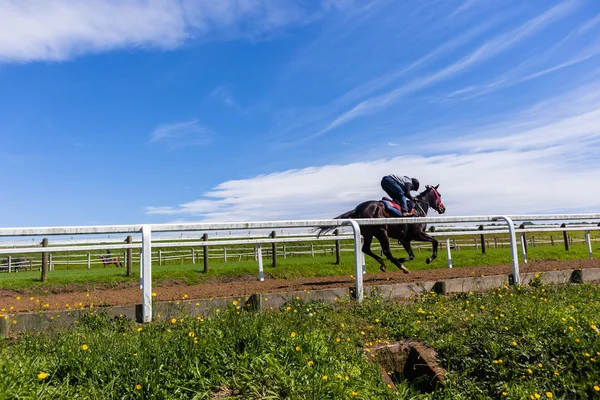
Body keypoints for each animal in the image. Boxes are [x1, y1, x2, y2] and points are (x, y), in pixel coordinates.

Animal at [318, 186, 446, 274]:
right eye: (439, 194)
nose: (443, 208)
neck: (418, 210)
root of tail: (356, 210)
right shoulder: (417, 234)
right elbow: (435, 241)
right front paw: (429, 259)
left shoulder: (405, 239)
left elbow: (412, 255)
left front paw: (402, 258)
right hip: (381, 231)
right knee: (386, 251)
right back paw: (402, 267)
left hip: (369, 234)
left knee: (366, 249)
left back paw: (384, 264)